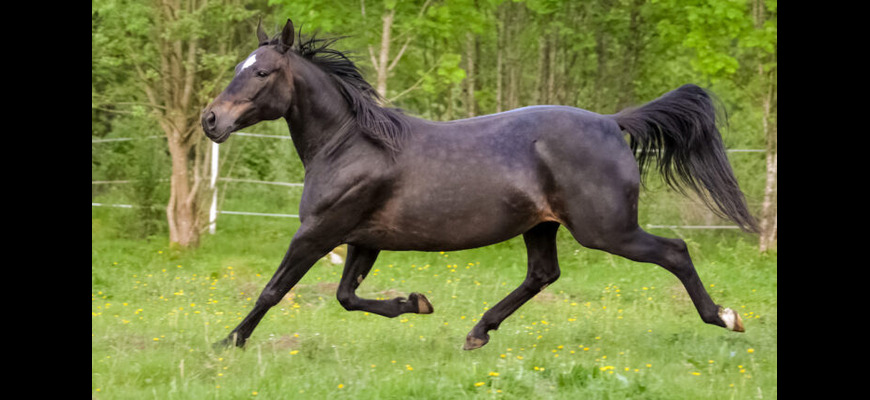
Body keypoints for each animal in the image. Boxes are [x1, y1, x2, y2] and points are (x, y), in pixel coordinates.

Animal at [203, 19, 756, 350]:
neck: (350, 144)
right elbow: (346, 296)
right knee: (542, 275)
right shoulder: (362, 239)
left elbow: (274, 290)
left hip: (607, 230)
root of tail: (610, 122)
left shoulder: (319, 233)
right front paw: (415, 303)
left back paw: (726, 317)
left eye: (263, 73)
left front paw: (228, 342)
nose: (211, 120)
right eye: (239, 68)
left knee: (675, 251)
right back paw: (477, 332)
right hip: (543, 226)